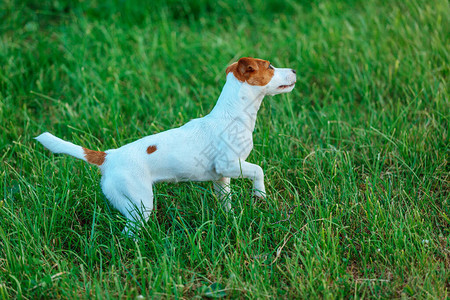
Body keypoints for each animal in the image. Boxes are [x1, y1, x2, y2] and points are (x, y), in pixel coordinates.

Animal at [37, 56, 298, 234]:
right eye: (270, 67)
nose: (295, 69)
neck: (232, 115)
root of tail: (108, 156)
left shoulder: (221, 176)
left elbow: (226, 201)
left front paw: (231, 219)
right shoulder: (230, 164)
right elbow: (259, 170)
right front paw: (260, 194)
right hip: (140, 203)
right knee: (129, 232)